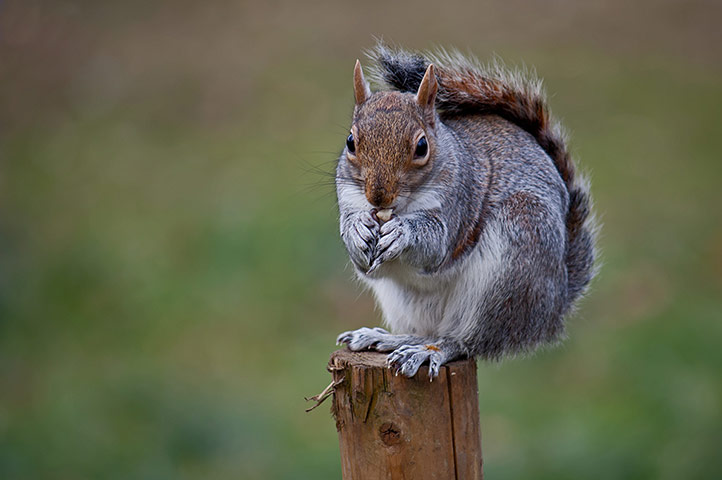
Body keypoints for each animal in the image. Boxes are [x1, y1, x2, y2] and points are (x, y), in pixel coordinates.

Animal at [335, 44, 597, 379]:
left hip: (514, 266)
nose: (378, 197)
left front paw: (403, 232)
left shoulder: (459, 201)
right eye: (350, 142)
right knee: (429, 332)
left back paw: (429, 351)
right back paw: (388, 338)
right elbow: (362, 259)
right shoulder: (350, 200)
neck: (400, 207)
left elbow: (436, 246)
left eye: (422, 146)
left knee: (467, 342)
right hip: (408, 304)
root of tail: (554, 309)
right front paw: (356, 229)